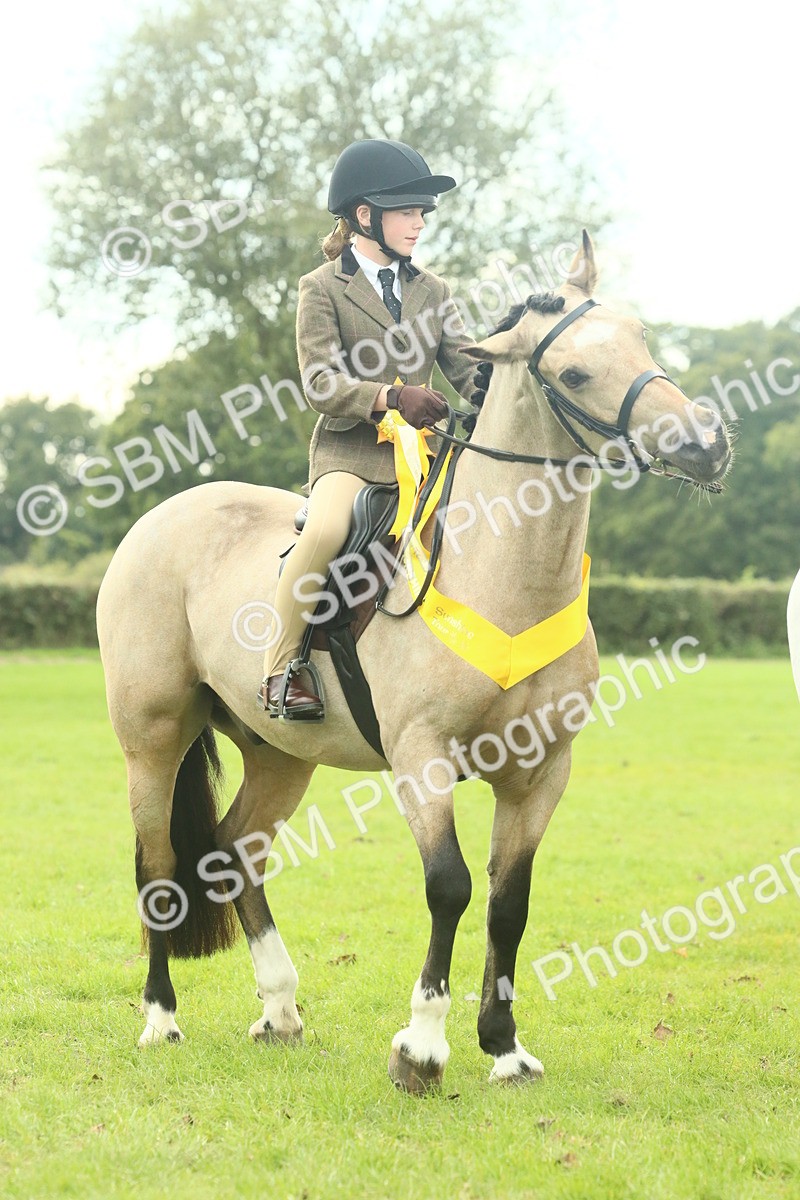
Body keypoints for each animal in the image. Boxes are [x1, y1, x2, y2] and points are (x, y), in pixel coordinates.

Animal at [96, 232, 731, 1092]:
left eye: (641, 336)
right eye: (572, 374)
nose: (706, 444)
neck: (503, 570)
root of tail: (159, 517)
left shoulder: (541, 772)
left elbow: (509, 901)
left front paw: (504, 1046)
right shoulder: (421, 759)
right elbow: (450, 886)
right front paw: (422, 1048)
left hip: (279, 753)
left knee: (236, 849)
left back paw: (280, 1010)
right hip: (153, 738)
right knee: (159, 865)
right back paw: (161, 1019)